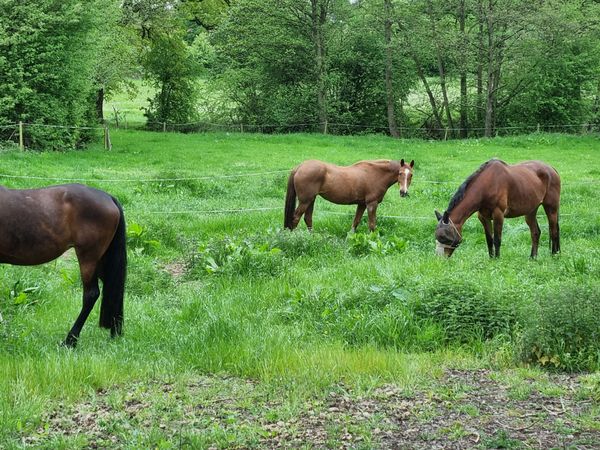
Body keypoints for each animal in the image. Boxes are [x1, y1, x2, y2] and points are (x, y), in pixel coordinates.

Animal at [284, 159, 414, 232]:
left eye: (411, 175)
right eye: (400, 173)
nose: (404, 192)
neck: (376, 174)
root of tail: (299, 167)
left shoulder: (362, 204)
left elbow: (355, 222)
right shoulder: (371, 204)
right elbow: (372, 225)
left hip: (311, 200)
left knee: (308, 218)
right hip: (305, 201)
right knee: (295, 218)